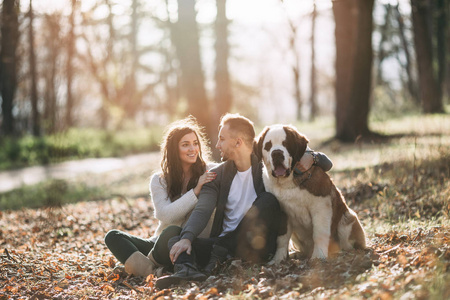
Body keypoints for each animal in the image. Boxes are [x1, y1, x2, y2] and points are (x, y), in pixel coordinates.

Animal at [255, 124, 368, 262]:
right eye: (267, 146)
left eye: (286, 143)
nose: (276, 153)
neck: (287, 182)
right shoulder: (282, 211)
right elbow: (282, 238)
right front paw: (278, 259)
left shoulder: (321, 206)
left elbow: (319, 233)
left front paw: (318, 257)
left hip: (348, 218)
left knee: (347, 243)